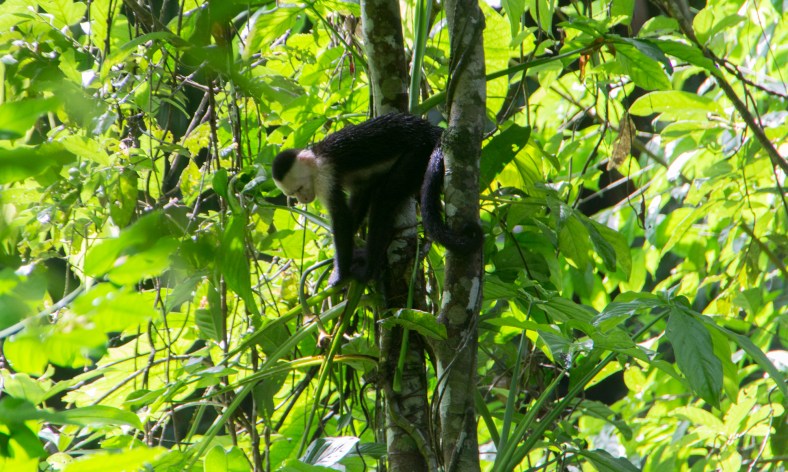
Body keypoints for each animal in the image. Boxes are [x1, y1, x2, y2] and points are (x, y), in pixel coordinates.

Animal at [272, 113, 482, 285]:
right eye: (294, 194)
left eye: (299, 189)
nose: (303, 199)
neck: (315, 159)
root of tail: (431, 130)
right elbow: (360, 197)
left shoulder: (324, 176)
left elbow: (341, 219)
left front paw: (340, 273)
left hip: (419, 153)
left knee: (385, 197)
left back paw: (369, 269)